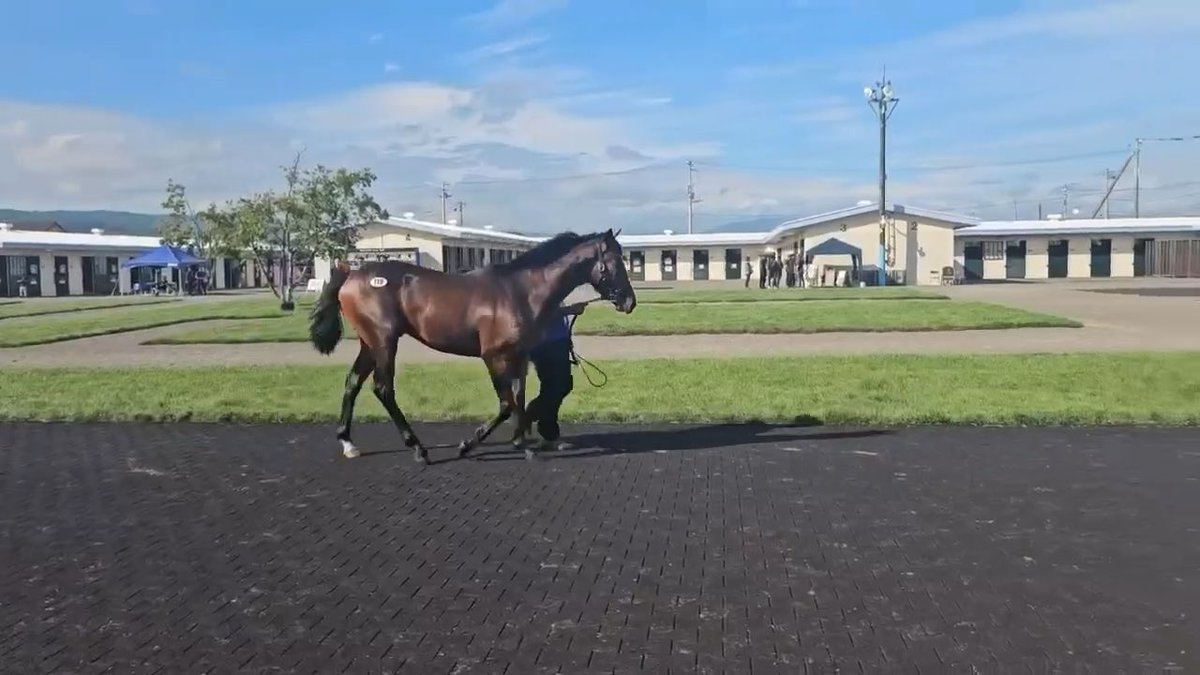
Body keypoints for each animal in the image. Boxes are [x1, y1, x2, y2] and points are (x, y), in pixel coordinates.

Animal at [306, 229, 637, 464]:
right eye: (613, 263)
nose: (629, 301)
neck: (520, 291)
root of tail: (352, 272)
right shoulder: (494, 356)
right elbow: (506, 403)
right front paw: (470, 444)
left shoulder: (518, 357)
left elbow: (518, 398)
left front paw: (522, 443)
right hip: (384, 341)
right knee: (383, 389)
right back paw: (418, 449)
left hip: (369, 342)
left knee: (352, 383)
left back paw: (348, 443)